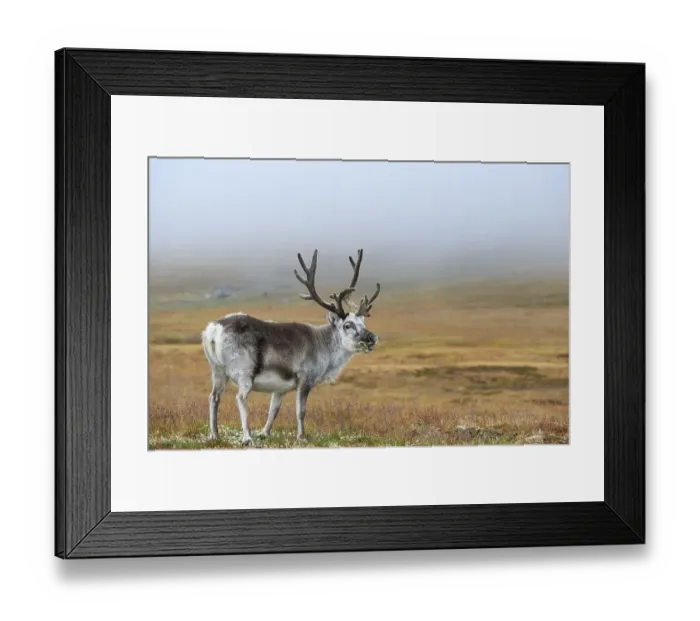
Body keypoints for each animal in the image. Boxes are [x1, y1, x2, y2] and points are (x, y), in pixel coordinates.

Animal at [201, 249, 380, 445]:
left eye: (363, 322)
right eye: (348, 325)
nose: (372, 337)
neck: (323, 344)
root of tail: (214, 329)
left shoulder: (280, 388)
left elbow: (273, 411)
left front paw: (264, 433)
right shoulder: (305, 379)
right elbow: (301, 411)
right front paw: (301, 436)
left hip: (217, 370)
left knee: (214, 397)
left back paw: (215, 434)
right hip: (244, 373)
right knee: (240, 397)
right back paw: (247, 437)